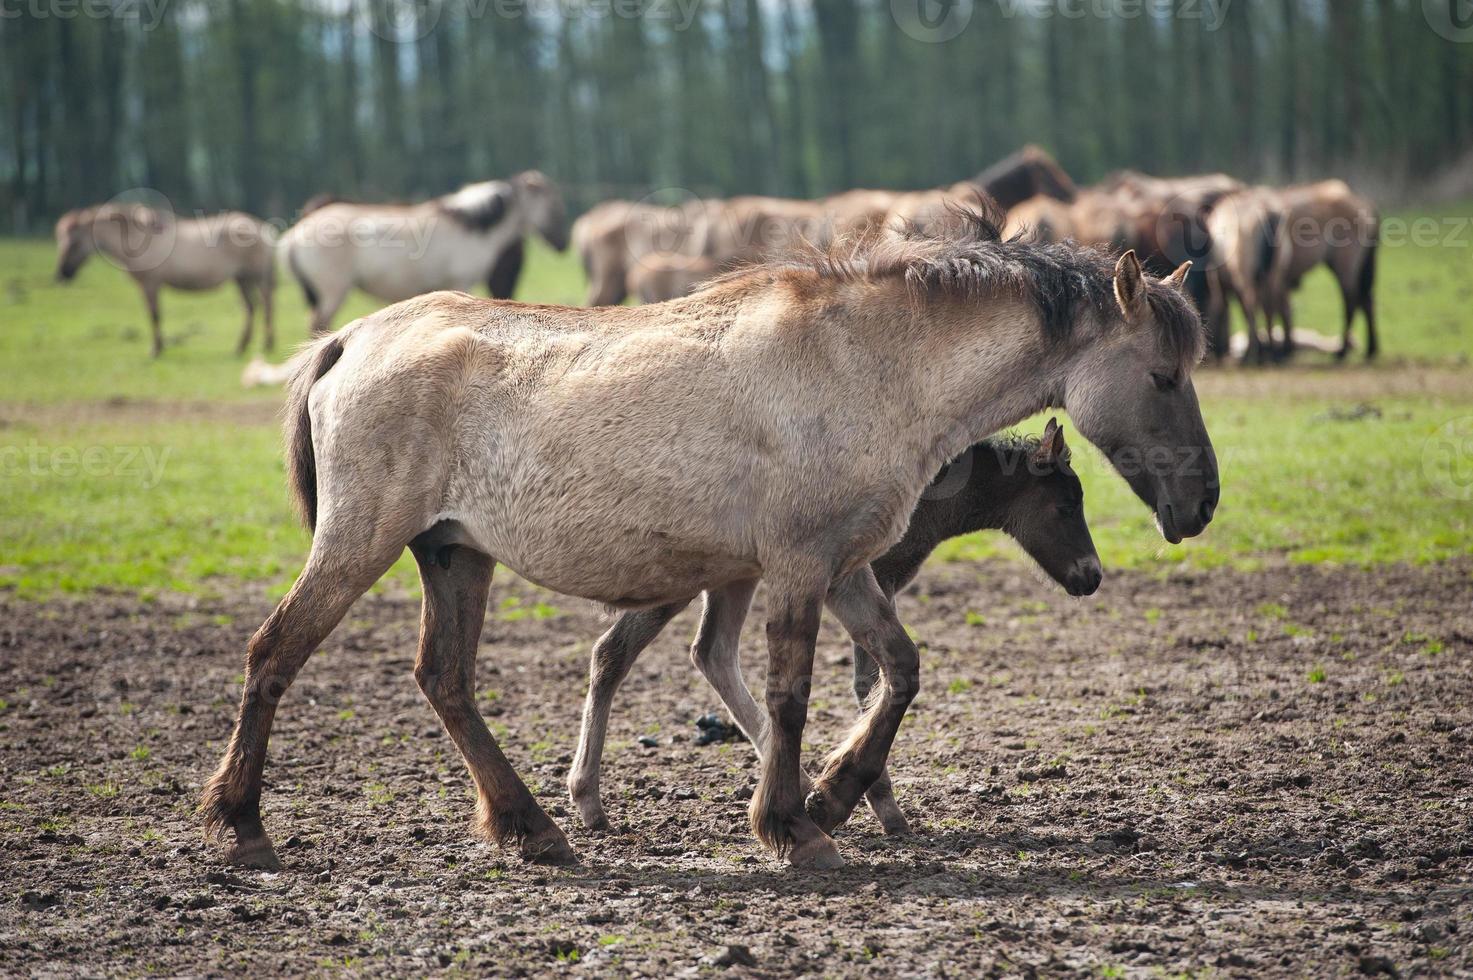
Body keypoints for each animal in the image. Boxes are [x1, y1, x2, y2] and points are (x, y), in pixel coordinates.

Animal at [53, 201, 275, 355]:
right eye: (60, 240)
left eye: (74, 243)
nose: (61, 274)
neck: (137, 240)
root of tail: (261, 228)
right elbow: (154, 315)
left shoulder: (150, 284)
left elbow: (154, 315)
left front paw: (156, 349)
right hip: (242, 279)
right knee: (251, 308)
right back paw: (241, 346)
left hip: (256, 278)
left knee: (266, 306)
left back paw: (267, 344)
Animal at [278, 170, 565, 334]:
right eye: (551, 204)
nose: (561, 244)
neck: (469, 226)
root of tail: (294, 235)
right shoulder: (461, 282)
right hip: (333, 292)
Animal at [568, 418, 1101, 831]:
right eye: (1066, 506)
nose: (1092, 575)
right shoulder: (874, 576)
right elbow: (870, 681)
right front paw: (873, 801)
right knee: (619, 652)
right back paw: (588, 799)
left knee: (706, 651)